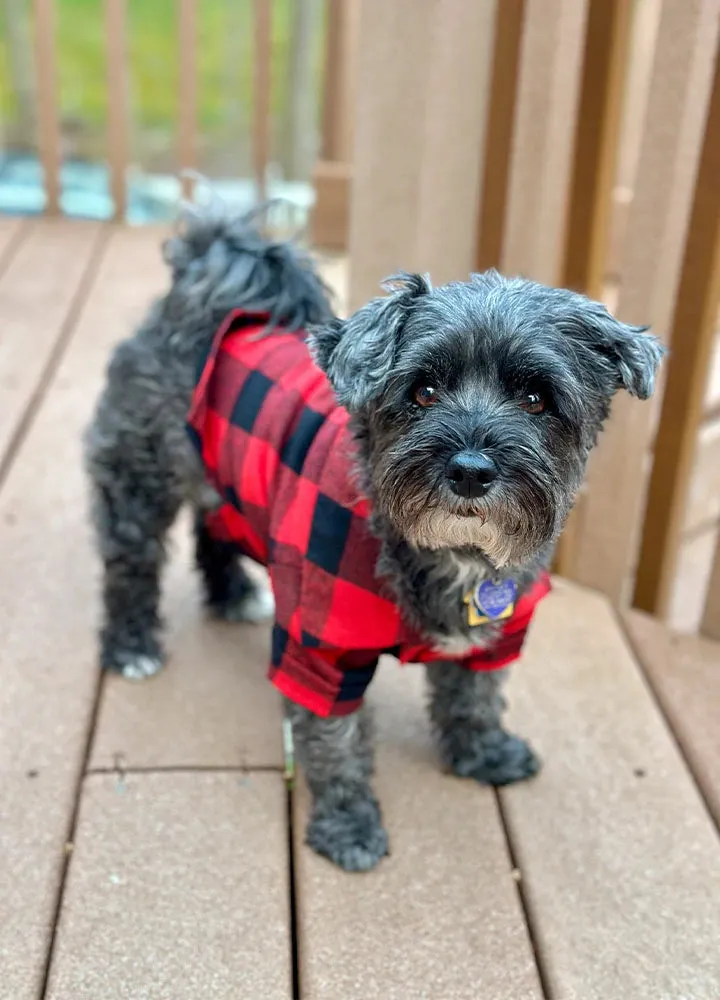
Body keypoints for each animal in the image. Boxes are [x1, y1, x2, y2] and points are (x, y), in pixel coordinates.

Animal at [87, 207, 668, 872]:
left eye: (536, 398)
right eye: (422, 390)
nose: (471, 471)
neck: (444, 552)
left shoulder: (500, 630)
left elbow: (475, 694)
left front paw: (483, 752)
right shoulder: (319, 649)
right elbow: (334, 740)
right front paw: (347, 824)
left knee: (213, 530)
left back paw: (233, 594)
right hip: (137, 484)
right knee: (129, 568)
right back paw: (132, 647)